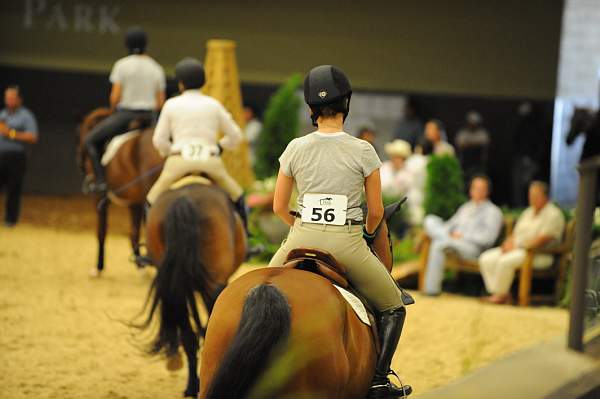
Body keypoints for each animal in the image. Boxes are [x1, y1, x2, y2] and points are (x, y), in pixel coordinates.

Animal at [76, 107, 163, 276]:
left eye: (78, 140)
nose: (80, 164)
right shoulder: (135, 203)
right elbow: (134, 233)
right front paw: (140, 266)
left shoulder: (99, 200)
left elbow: (101, 232)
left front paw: (98, 268)